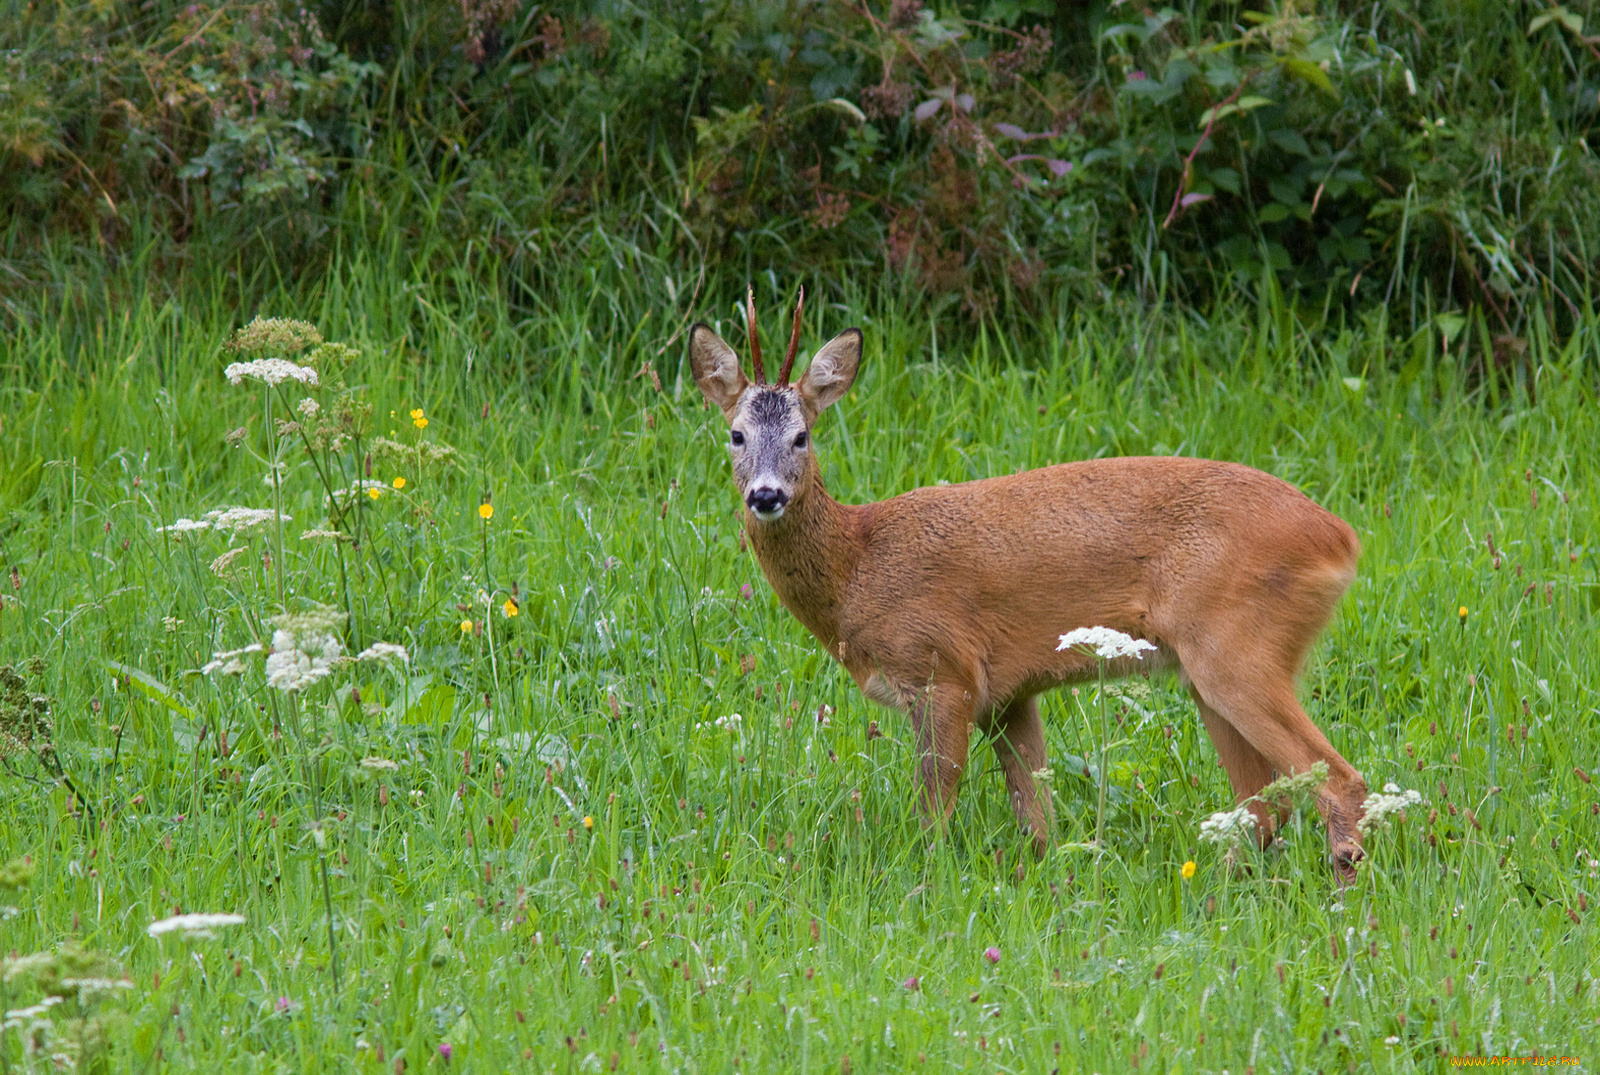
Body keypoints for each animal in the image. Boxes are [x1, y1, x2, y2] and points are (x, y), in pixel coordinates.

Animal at [681, 289, 1369, 876]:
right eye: (735, 434)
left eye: (802, 436)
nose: (766, 495)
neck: (858, 568)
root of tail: (1340, 539)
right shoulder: (1010, 694)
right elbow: (1038, 819)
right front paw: (1049, 880)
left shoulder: (943, 671)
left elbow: (935, 811)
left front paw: (928, 883)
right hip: (1208, 669)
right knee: (1266, 801)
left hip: (1237, 647)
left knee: (1336, 781)